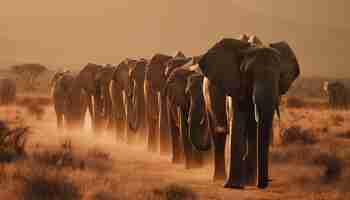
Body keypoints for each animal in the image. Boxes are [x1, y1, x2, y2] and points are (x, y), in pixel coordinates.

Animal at [191, 38, 300, 189]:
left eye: (280, 76)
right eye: (248, 73)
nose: (264, 184)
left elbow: (254, 130)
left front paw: (249, 183)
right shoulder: (235, 86)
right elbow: (237, 123)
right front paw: (234, 186)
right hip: (207, 99)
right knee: (218, 136)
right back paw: (219, 179)